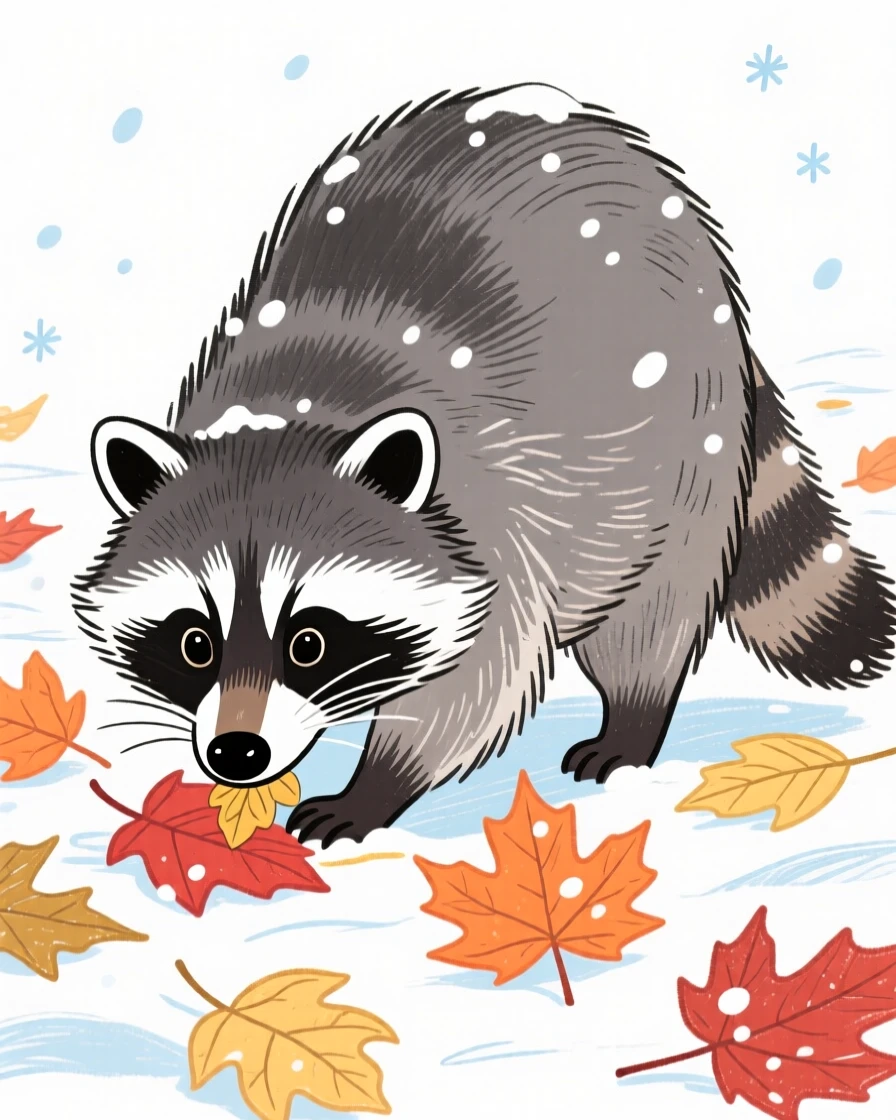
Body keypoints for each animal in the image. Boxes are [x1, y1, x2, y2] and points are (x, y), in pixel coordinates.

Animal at [72, 82, 896, 846]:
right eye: (194, 642)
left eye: (309, 642)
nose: (236, 753)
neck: (292, 413)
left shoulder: (496, 519)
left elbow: (472, 685)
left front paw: (378, 782)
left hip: (689, 434)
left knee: (653, 607)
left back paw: (634, 715)